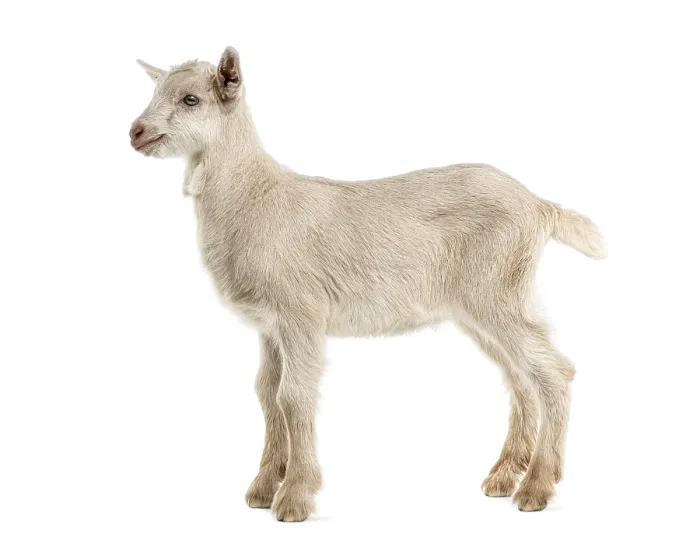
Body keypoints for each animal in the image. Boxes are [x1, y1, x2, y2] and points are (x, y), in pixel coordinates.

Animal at [130, 47, 606, 521]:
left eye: (191, 99)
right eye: (155, 91)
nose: (136, 132)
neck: (256, 198)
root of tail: (540, 207)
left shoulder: (301, 311)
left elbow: (293, 396)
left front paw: (294, 497)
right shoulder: (270, 326)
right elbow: (266, 393)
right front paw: (264, 488)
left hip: (498, 289)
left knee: (553, 371)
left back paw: (537, 486)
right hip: (483, 305)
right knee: (521, 376)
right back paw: (505, 477)